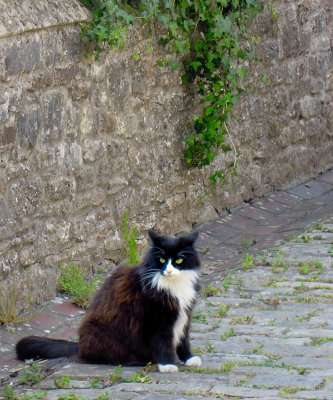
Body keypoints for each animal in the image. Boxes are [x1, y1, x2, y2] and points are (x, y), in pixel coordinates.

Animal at [16, 230, 202, 374]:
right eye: (162, 260)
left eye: (178, 260)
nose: (169, 271)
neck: (173, 286)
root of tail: (80, 346)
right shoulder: (156, 320)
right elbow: (162, 343)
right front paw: (167, 364)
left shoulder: (185, 316)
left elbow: (184, 341)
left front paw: (189, 359)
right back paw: (137, 360)